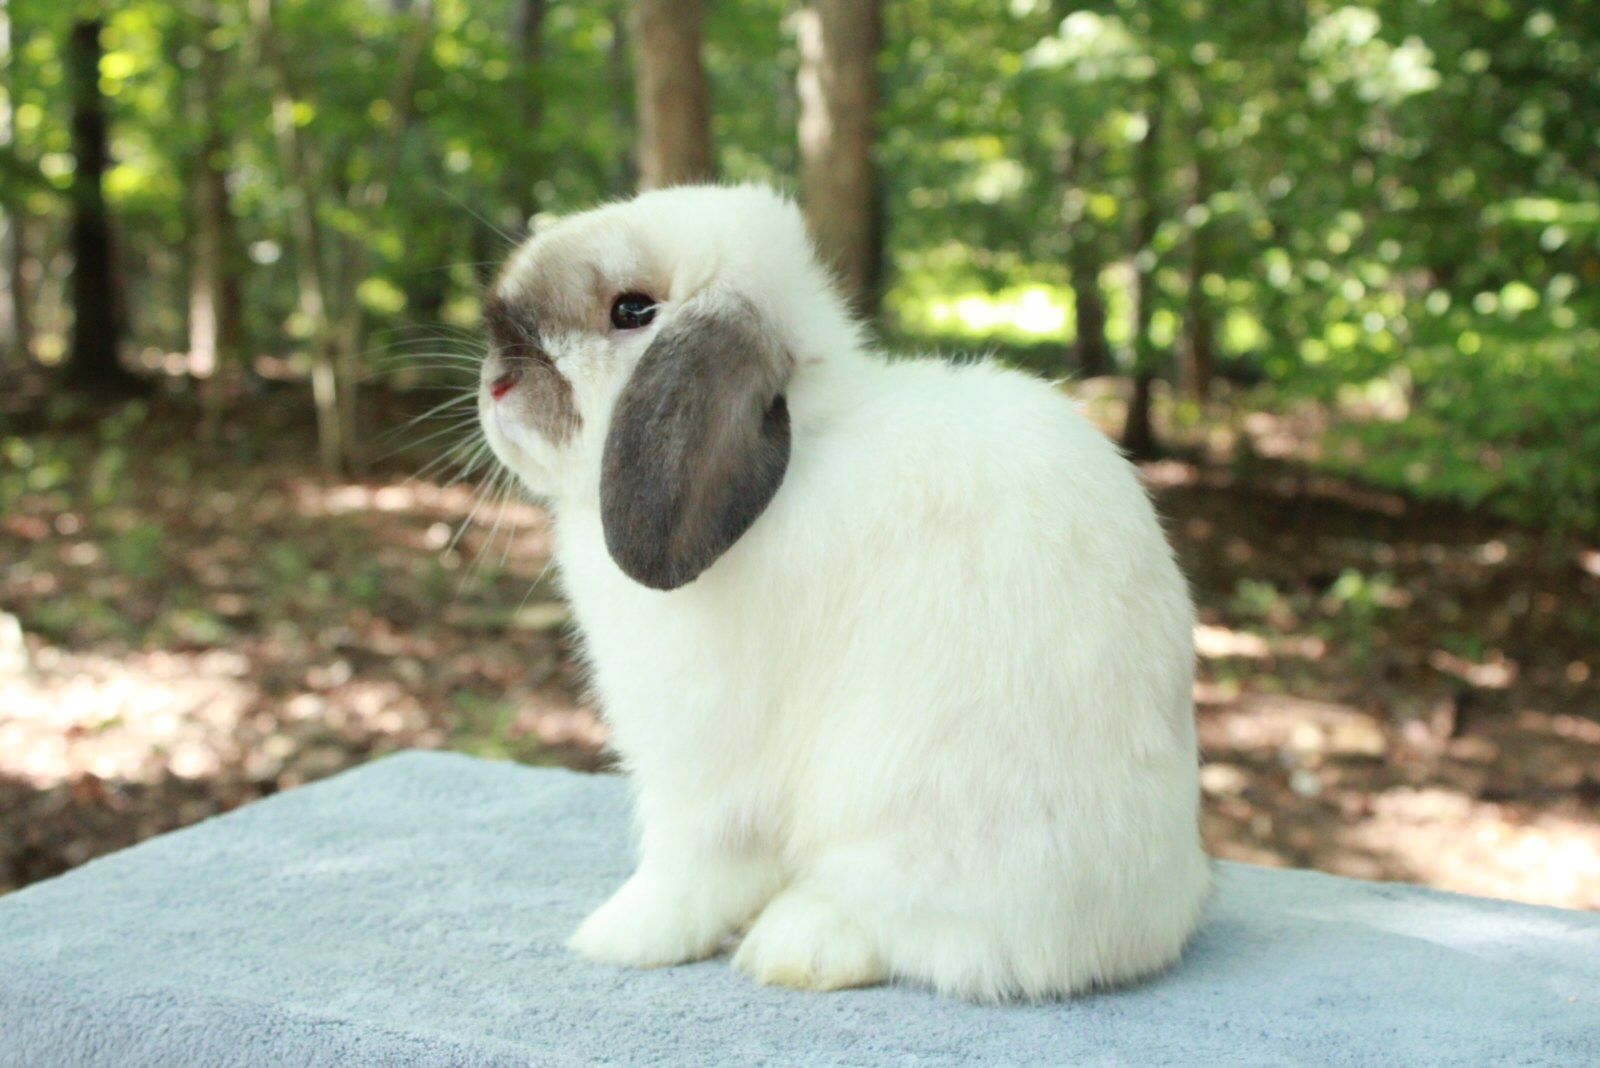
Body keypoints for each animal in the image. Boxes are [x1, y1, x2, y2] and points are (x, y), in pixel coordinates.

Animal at [475, 183, 1210, 1001]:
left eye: (631, 311)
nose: (496, 383)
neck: (808, 440)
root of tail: (1134, 932)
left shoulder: (702, 769)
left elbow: (689, 869)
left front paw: (617, 938)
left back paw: (791, 944)